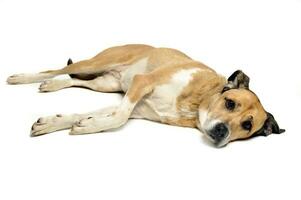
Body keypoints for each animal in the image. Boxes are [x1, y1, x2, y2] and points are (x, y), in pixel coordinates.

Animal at [6, 44, 284, 147]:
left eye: (247, 125)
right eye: (229, 102)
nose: (221, 132)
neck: (196, 104)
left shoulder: (136, 107)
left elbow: (100, 114)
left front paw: (69, 123)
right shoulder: (142, 83)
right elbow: (118, 117)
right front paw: (86, 125)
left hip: (106, 84)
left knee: (74, 80)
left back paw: (53, 85)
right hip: (94, 64)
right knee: (56, 70)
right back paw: (22, 78)